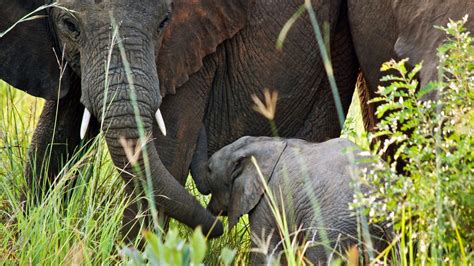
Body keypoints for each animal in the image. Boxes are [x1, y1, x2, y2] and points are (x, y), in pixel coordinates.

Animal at [0, 0, 356, 241]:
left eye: (164, 23)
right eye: (69, 25)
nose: (217, 225)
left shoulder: (191, 43)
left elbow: (168, 155)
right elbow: (52, 141)